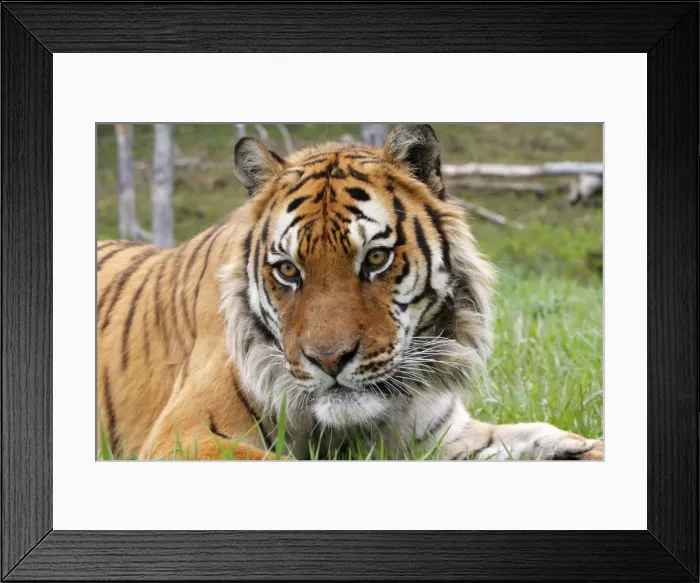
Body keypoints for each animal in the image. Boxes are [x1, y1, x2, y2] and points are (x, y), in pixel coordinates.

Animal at [97, 124, 603, 461]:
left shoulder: (440, 435)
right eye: (288, 270)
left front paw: (581, 447)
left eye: (375, 258)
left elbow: (526, 433)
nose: (329, 360)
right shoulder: (184, 436)